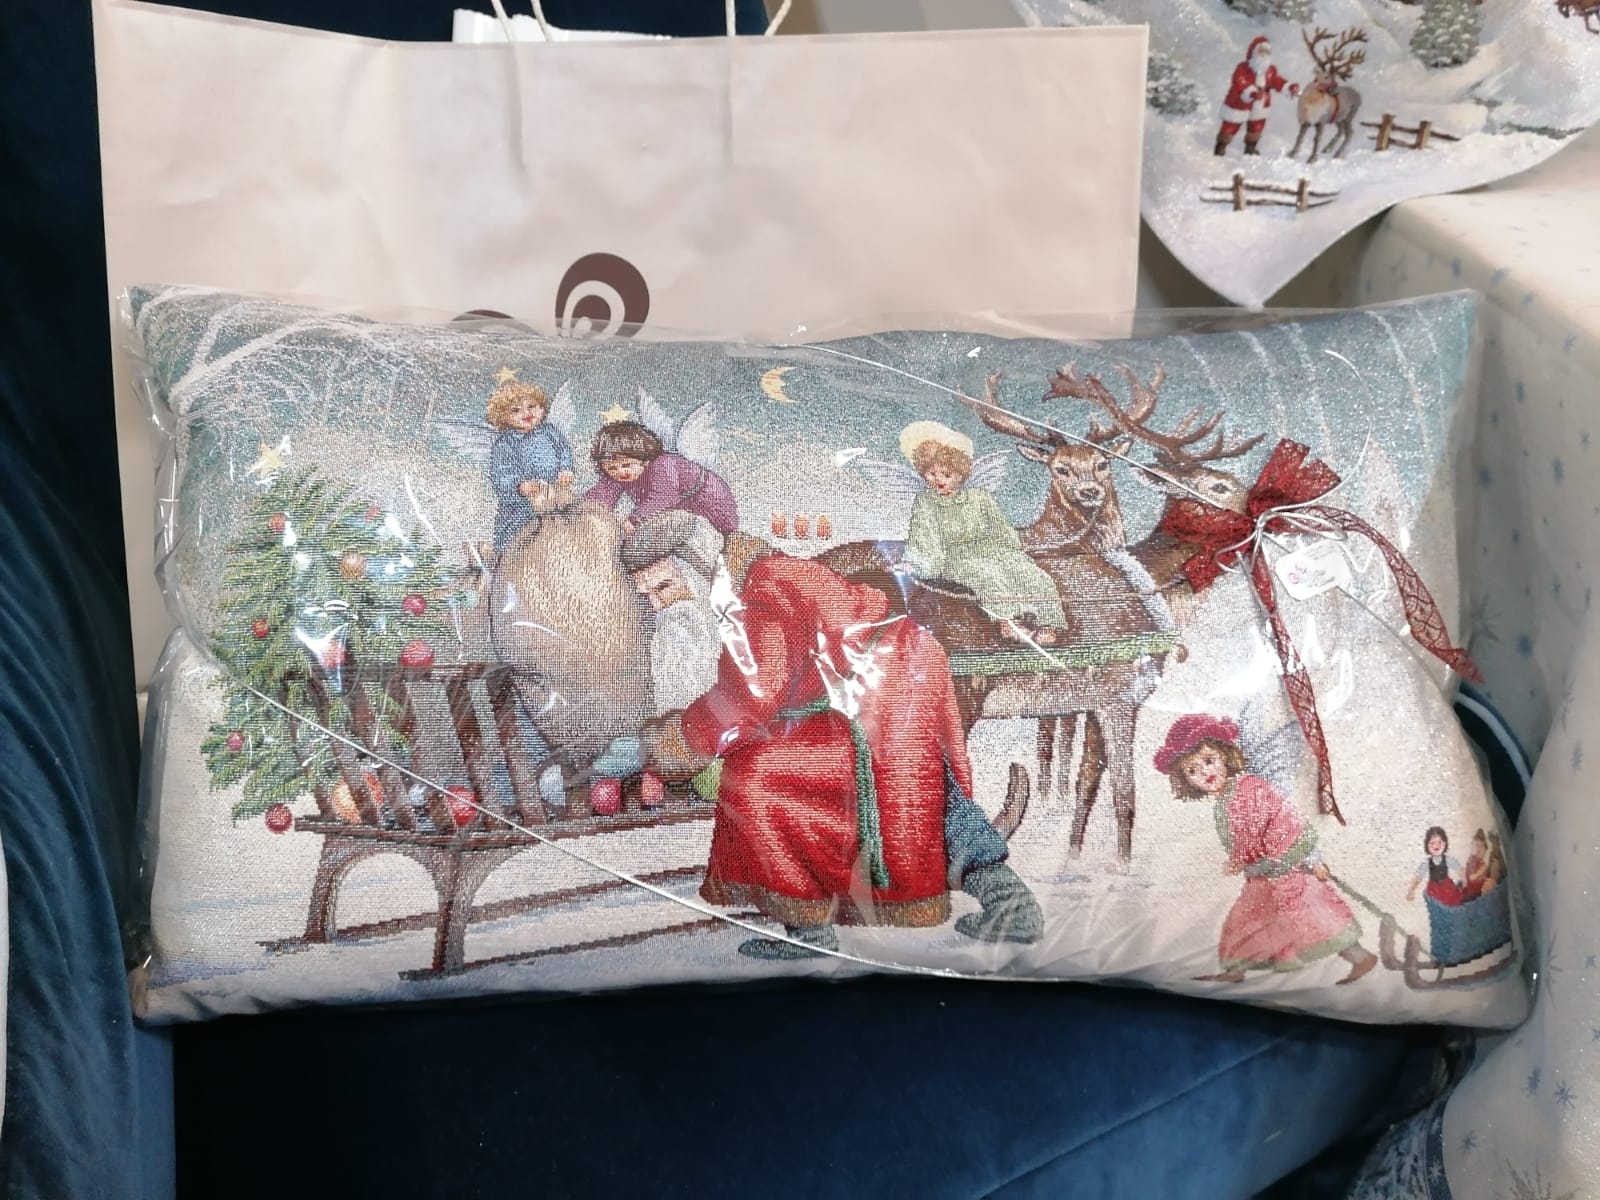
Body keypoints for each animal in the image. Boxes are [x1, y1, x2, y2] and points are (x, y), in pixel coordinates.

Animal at [1290, 27, 1367, 165]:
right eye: (1326, 76)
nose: (1335, 87)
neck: (1312, 103)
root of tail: (1359, 95)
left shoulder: (1322, 121)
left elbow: (1317, 139)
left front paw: (1312, 159)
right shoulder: (1305, 121)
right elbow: (1299, 137)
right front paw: (1292, 154)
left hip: (1349, 116)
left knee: (1349, 133)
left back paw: (1337, 154)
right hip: (1338, 118)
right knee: (1341, 131)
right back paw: (1327, 149)